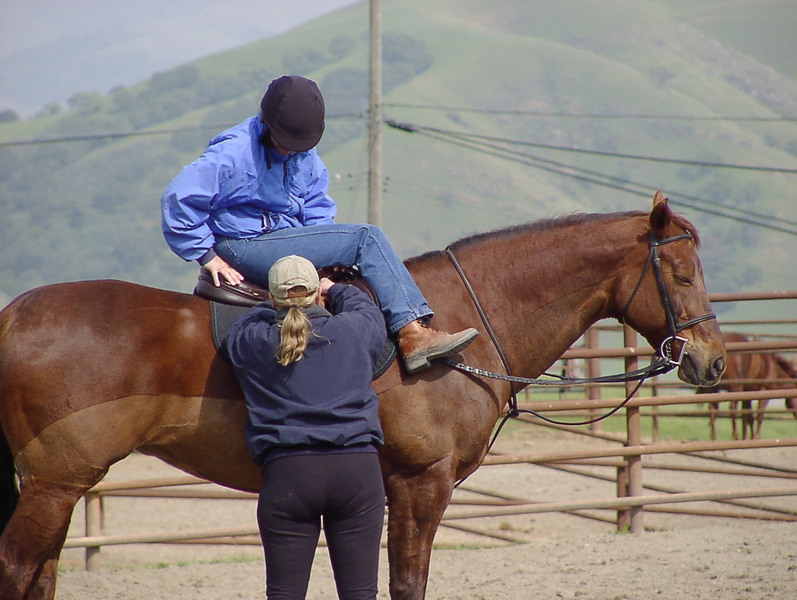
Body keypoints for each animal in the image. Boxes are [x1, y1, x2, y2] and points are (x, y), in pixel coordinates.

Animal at [0, 192, 726, 600]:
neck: (459, 320)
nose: (711, 360)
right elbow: (408, 582)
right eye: (680, 272)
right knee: (18, 565)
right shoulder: (419, 483)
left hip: (57, 487)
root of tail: (14, 314)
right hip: (55, 484)